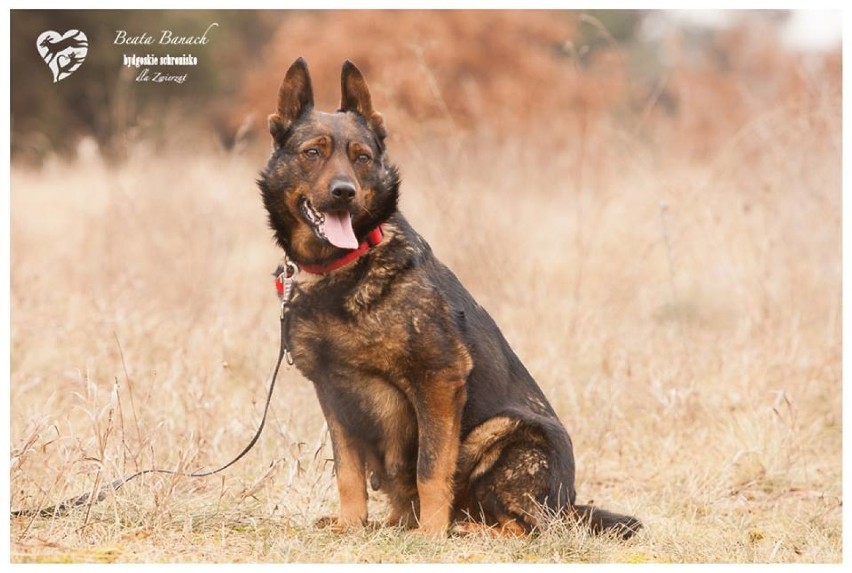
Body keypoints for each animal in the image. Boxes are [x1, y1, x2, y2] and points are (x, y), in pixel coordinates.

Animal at [256, 55, 644, 540]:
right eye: (313, 153)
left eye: (362, 158)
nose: (344, 193)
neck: (346, 267)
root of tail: (567, 504)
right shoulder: (333, 393)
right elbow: (347, 472)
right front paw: (350, 524)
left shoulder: (438, 380)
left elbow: (431, 468)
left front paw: (432, 534)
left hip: (508, 434)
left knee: (526, 525)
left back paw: (464, 528)